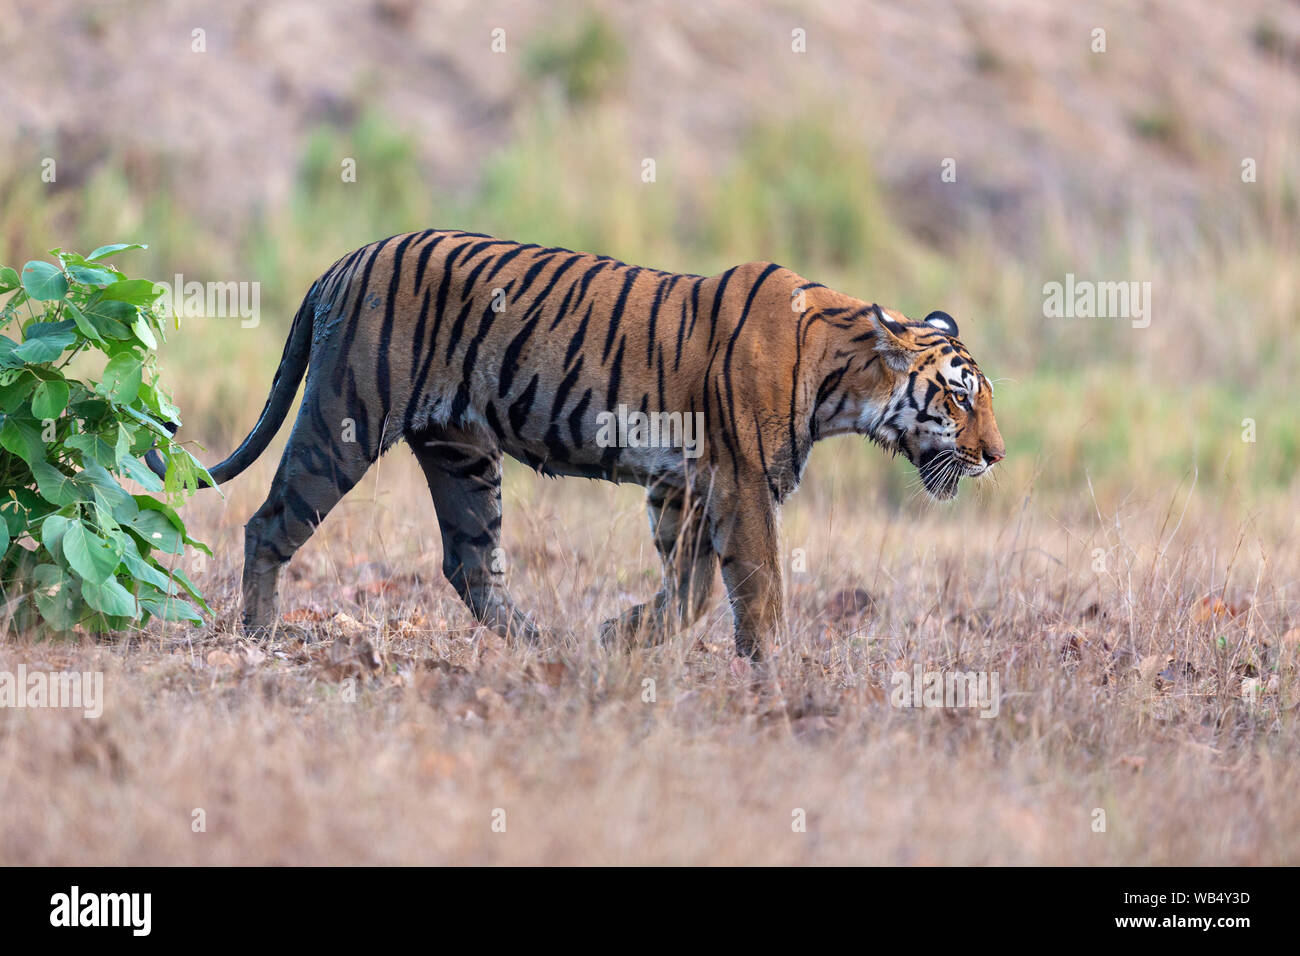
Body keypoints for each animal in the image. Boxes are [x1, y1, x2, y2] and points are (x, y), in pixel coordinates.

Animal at [149, 231, 1003, 660]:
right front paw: (776, 673)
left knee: (470, 564)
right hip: (347, 416)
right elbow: (757, 587)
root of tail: (340, 262)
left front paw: (616, 638)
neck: (844, 383)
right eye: (961, 397)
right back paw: (260, 635)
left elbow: (691, 591)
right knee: (270, 521)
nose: (995, 455)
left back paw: (543, 646)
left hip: (462, 452)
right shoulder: (743, 482)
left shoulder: (684, 487)